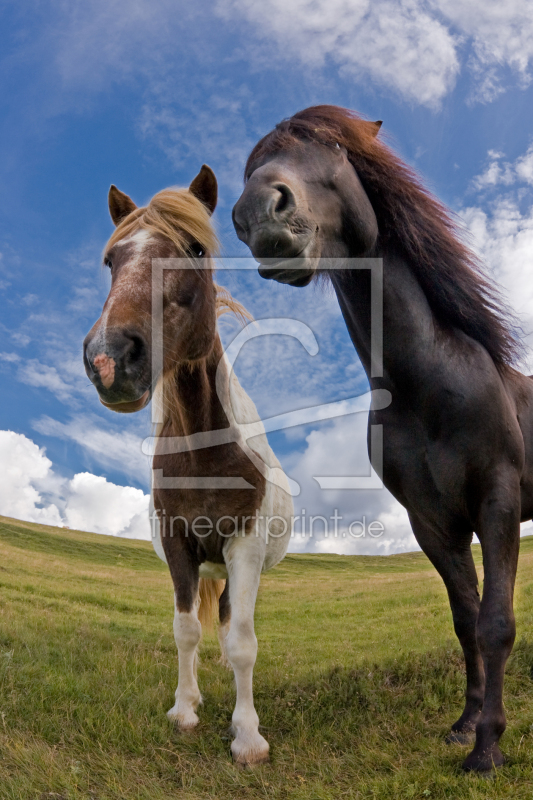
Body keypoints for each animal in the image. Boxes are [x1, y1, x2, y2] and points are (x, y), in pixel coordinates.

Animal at [82, 166, 296, 764]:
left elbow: (243, 641)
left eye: (195, 248)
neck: (205, 451)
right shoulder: (179, 544)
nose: (109, 358)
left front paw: (247, 734)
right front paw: (185, 709)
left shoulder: (243, 544)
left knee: (229, 625)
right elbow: (184, 632)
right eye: (111, 260)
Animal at [232, 103, 532, 772]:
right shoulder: (432, 523)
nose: (260, 212)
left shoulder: (498, 501)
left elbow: (496, 623)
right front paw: (464, 725)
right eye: (250, 163)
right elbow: (465, 621)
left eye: (336, 149)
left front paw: (487, 747)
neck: (428, 381)